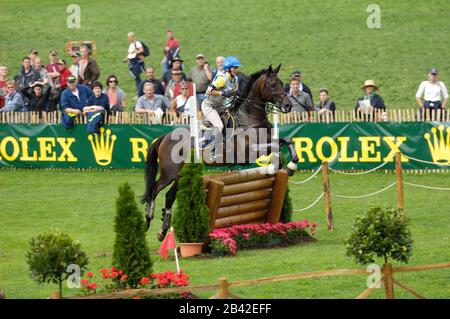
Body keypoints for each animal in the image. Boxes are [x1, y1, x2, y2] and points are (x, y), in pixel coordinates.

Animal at [142, 64, 300, 240]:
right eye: (272, 85)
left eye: (282, 83)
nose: (288, 106)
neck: (250, 117)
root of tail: (165, 137)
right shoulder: (248, 151)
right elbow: (275, 147)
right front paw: (282, 166)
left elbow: (286, 141)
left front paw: (290, 166)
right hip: (171, 173)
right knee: (154, 189)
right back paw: (149, 220)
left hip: (179, 175)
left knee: (169, 195)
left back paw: (162, 229)